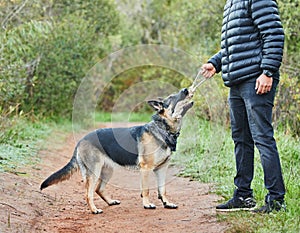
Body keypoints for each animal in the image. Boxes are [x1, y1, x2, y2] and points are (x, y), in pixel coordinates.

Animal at [40, 87, 192, 213]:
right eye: (172, 97)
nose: (186, 89)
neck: (163, 129)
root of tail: (81, 140)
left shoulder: (161, 169)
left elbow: (163, 189)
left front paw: (167, 203)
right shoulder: (146, 168)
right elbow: (146, 189)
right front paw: (147, 204)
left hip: (107, 171)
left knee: (98, 189)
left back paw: (110, 202)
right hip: (94, 171)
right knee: (88, 193)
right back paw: (94, 210)